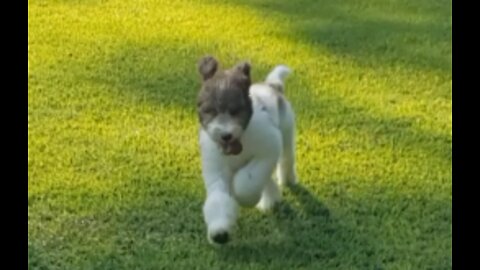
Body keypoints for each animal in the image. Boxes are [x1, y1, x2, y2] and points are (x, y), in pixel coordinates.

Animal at [196, 55, 296, 245]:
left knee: (286, 159)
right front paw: (220, 231)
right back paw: (271, 199)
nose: (225, 135)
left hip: (287, 133)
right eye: (210, 111)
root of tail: (272, 86)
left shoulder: (268, 147)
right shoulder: (217, 169)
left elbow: (247, 182)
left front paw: (245, 198)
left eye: (235, 111)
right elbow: (218, 198)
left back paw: (287, 179)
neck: (240, 141)